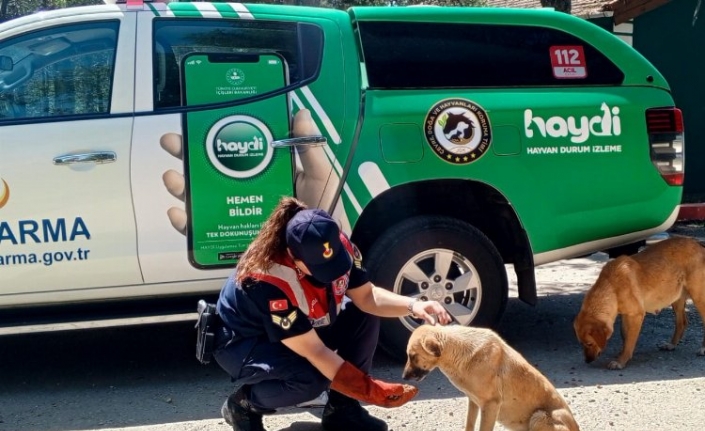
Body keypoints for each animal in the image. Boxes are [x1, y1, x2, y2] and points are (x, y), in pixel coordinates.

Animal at [402, 326, 576, 430]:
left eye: (413, 356)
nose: (403, 377)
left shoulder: (491, 405)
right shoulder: (473, 402)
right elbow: (469, 424)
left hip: (539, 416)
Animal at [572, 236, 704, 372]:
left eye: (589, 343)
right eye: (581, 343)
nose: (587, 361)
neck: (611, 286)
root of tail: (698, 244)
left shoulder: (636, 315)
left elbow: (630, 340)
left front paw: (621, 361)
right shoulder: (626, 315)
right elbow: (625, 336)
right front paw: (622, 354)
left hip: (699, 297)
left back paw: (702, 349)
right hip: (676, 299)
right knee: (682, 323)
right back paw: (671, 345)